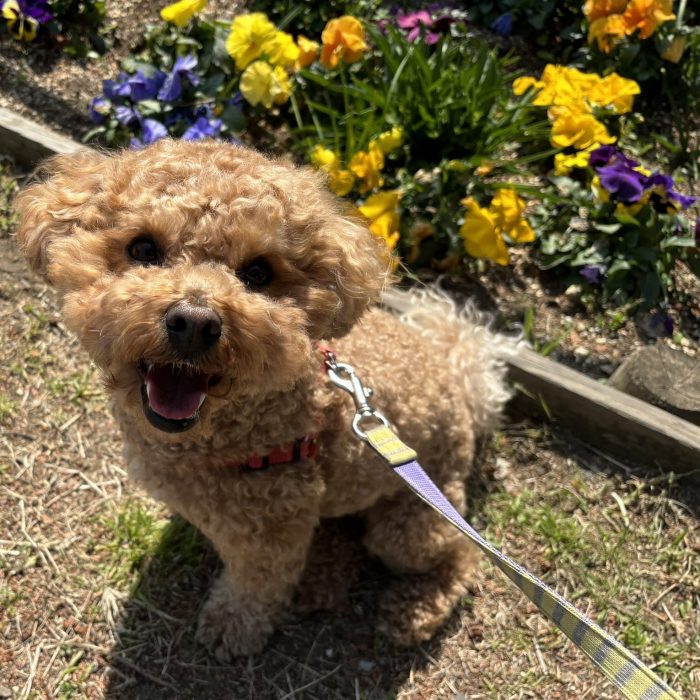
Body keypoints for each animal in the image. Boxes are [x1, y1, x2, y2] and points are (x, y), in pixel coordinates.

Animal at [13, 138, 512, 660]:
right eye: (144, 248)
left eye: (258, 272)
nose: (194, 322)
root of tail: (460, 378)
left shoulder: (268, 534)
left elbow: (255, 587)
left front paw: (231, 627)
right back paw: (320, 579)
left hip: (408, 526)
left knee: (461, 553)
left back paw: (414, 611)